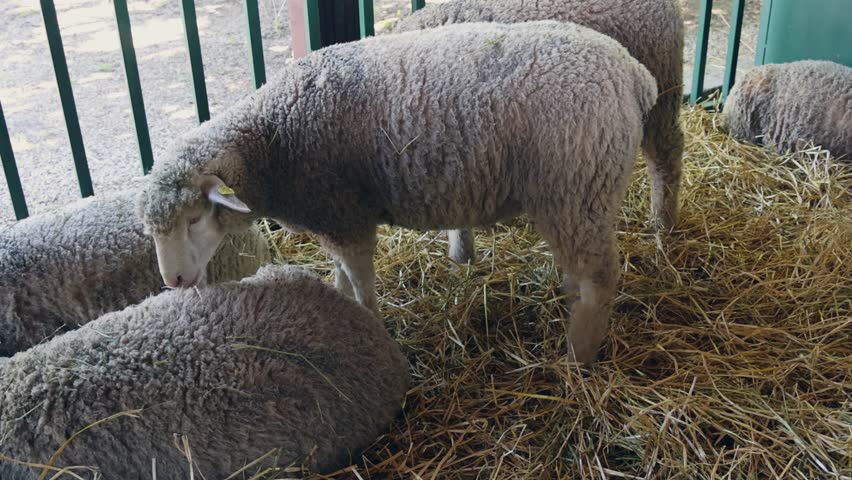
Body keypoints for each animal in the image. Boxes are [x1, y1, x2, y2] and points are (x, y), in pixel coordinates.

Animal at [138, 21, 658, 363]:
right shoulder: (332, 220)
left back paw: (579, 353)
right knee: (583, 269)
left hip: (578, 187)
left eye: (194, 219)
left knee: (601, 278)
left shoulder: (347, 218)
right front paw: (338, 304)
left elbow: (363, 289)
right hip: (575, 198)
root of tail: (634, 74)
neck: (271, 140)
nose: (174, 281)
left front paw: (372, 330)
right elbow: (340, 277)